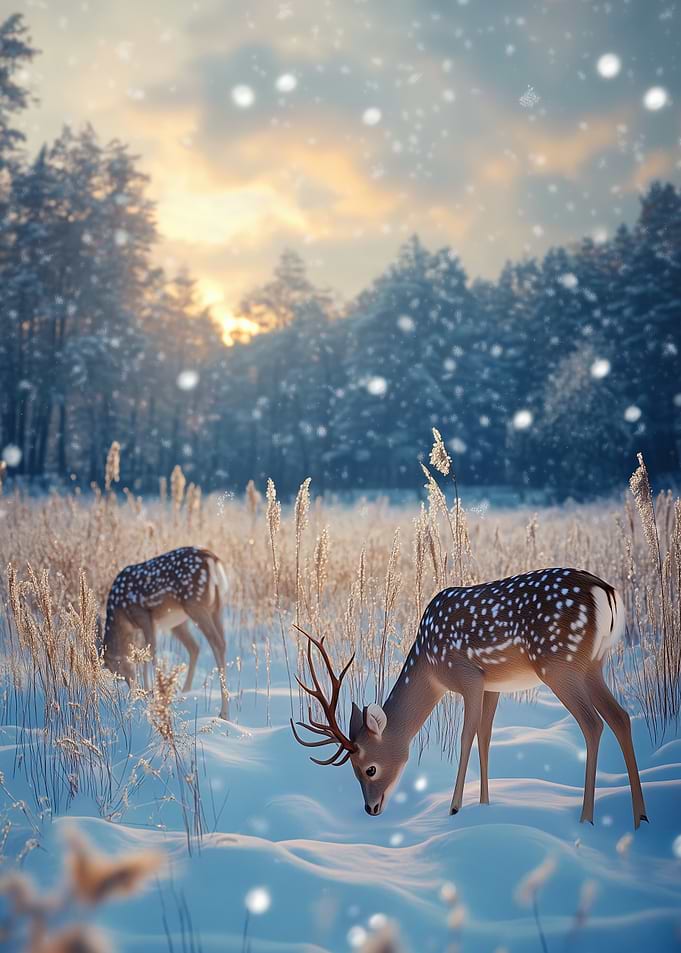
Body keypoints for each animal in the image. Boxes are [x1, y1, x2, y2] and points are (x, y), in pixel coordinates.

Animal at [102, 546, 230, 719]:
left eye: (117, 669)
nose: (132, 689)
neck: (120, 616)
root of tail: (212, 558)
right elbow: (144, 653)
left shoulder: (143, 615)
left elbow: (150, 654)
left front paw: (152, 694)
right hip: (214, 608)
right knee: (198, 646)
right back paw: (187, 692)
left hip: (195, 603)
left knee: (216, 643)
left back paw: (223, 713)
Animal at [291, 567, 648, 829]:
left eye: (369, 769)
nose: (371, 808)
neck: (430, 664)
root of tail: (606, 591)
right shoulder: (493, 685)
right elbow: (485, 736)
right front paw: (485, 804)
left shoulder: (468, 675)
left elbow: (466, 737)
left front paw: (455, 808)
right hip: (593, 664)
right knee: (620, 717)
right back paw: (639, 817)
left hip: (560, 663)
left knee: (592, 723)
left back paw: (586, 818)